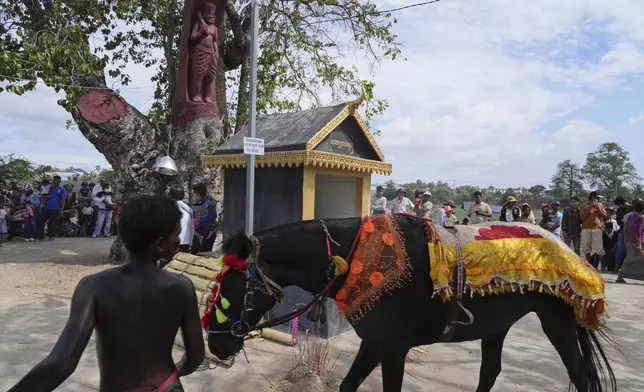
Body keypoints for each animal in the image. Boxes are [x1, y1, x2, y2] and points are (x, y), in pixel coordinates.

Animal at [208, 216, 620, 392]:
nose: (215, 341)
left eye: (231, 285)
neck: (359, 256)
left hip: (557, 323)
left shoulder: (392, 349)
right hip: (497, 326)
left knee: (580, 375)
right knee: (490, 372)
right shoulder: (374, 343)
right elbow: (347, 386)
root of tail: (568, 248)